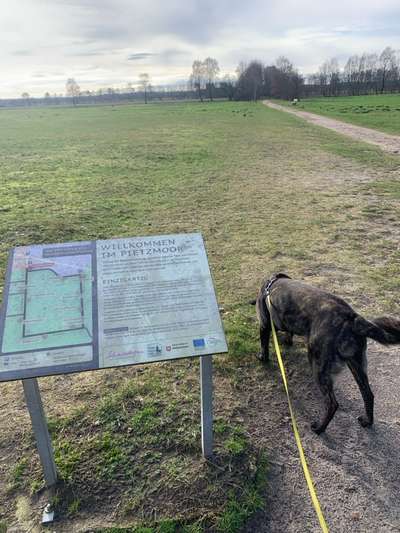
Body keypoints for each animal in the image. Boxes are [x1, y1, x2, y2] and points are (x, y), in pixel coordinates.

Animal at [255, 274, 400, 432]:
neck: (271, 284)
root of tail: (352, 318)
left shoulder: (264, 325)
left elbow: (264, 346)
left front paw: (262, 358)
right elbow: (288, 334)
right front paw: (287, 340)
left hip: (319, 366)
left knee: (332, 404)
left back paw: (320, 428)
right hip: (357, 365)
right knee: (368, 394)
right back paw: (368, 421)